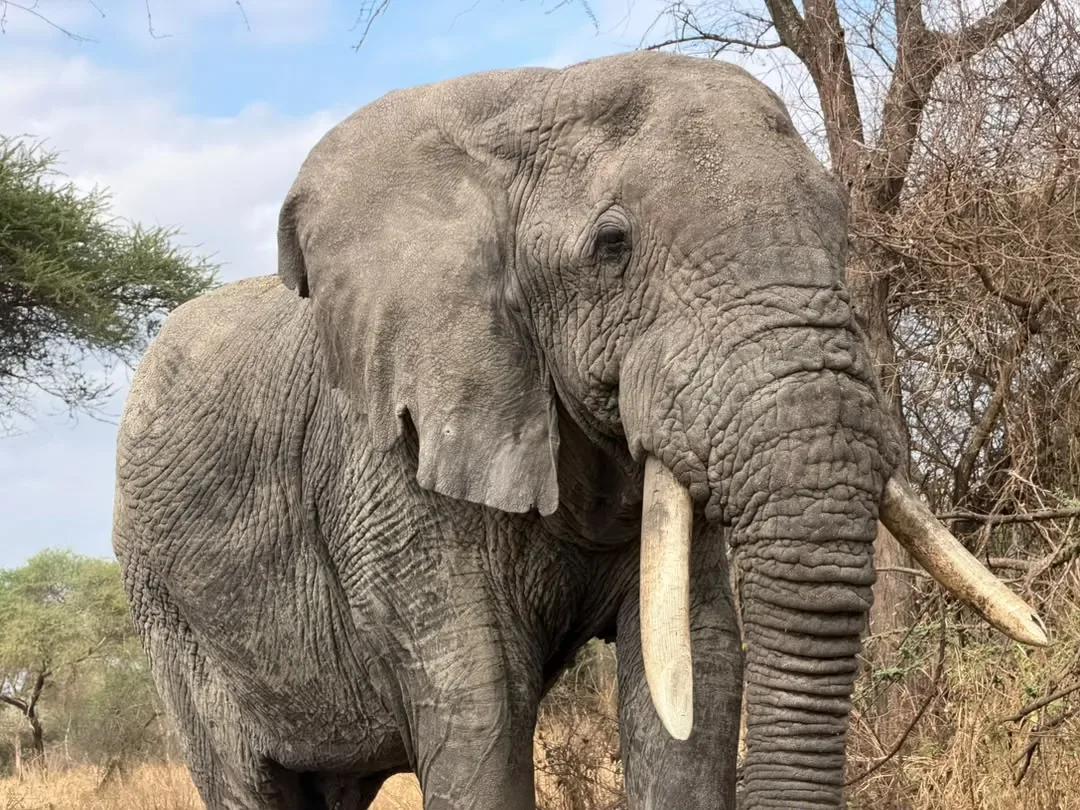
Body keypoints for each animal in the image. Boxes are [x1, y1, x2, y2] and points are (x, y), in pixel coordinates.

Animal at [112, 50, 1046, 810]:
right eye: (612, 245)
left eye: (839, 228)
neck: (521, 108)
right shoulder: (390, 469)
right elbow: (478, 703)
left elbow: (694, 677)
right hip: (169, 611)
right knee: (250, 782)